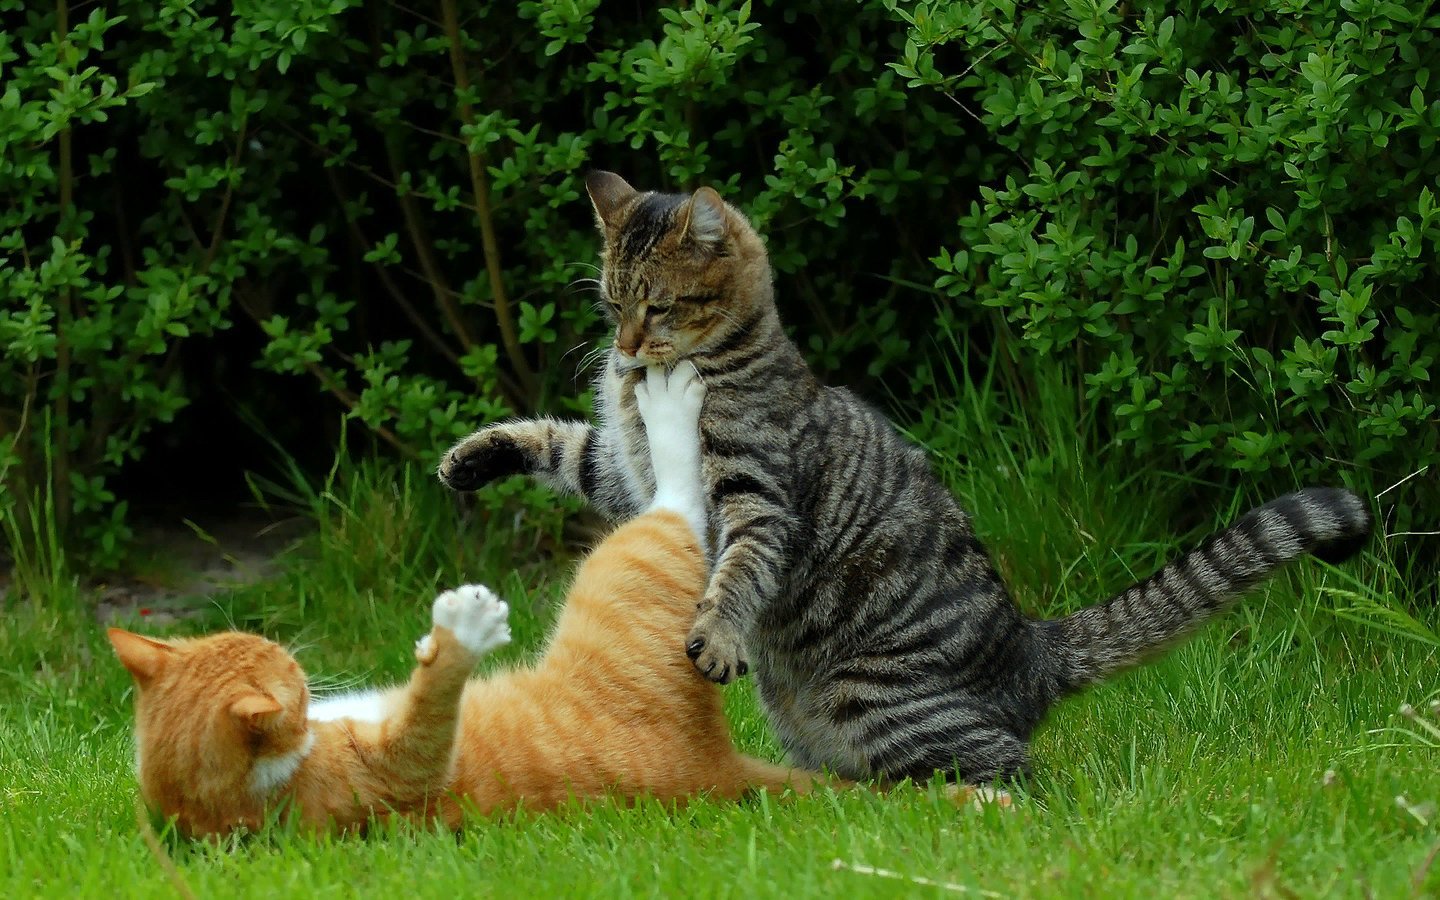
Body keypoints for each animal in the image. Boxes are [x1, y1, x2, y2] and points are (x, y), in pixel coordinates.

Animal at [108, 361, 829, 840]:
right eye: (283, 671)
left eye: (261, 646)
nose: (293, 656)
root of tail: (716, 766)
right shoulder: (389, 777)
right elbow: (426, 726)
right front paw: (462, 630)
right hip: (633, 559)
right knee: (679, 499)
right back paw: (669, 405)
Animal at [437, 173, 1370, 777]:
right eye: (611, 302)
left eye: (657, 306)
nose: (626, 348)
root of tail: (1031, 646)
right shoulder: (625, 475)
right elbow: (562, 444)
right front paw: (473, 455)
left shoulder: (751, 495)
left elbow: (736, 573)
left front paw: (716, 635)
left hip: (882, 699)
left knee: (1018, 773)